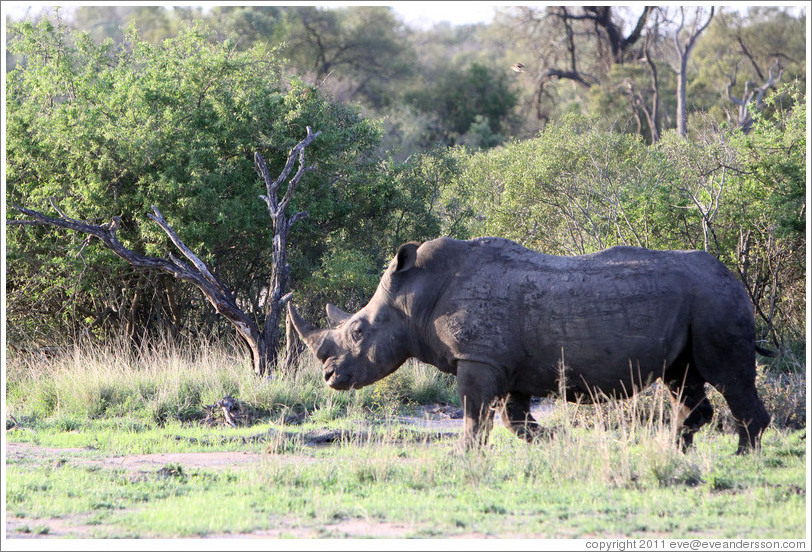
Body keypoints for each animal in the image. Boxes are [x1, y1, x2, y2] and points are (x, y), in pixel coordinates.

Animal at [288, 237, 771, 453]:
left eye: (358, 332)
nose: (328, 376)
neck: (415, 299)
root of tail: (734, 277)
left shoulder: (479, 357)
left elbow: (475, 413)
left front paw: (466, 456)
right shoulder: (506, 364)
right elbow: (512, 417)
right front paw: (554, 440)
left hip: (714, 301)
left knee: (728, 376)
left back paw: (741, 456)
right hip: (699, 303)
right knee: (682, 378)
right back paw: (677, 451)